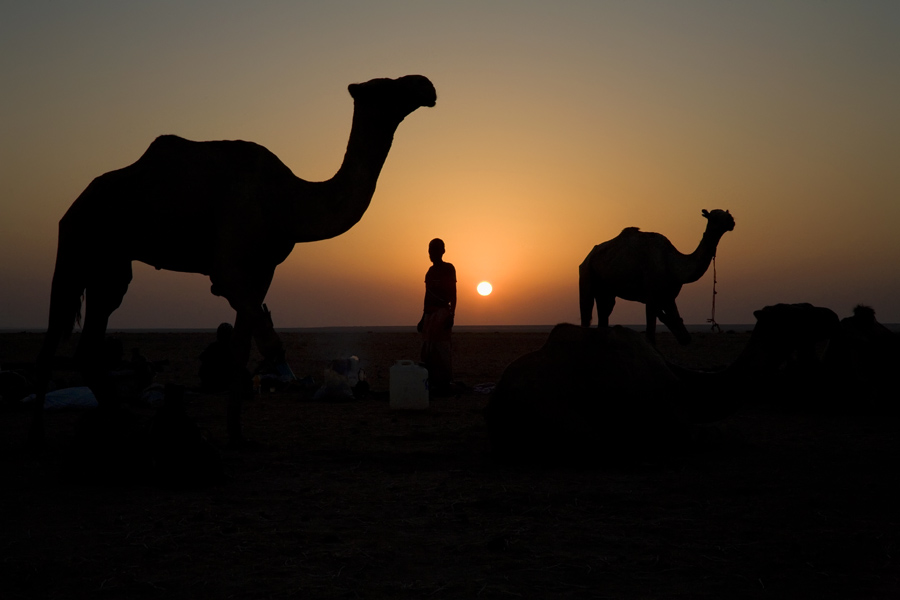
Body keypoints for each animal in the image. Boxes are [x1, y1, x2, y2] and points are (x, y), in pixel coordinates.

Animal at [32, 74, 437, 445]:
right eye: (387, 86)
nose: (425, 84)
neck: (287, 200)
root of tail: (76, 202)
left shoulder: (262, 269)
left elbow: (241, 348)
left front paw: (236, 435)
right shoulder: (229, 262)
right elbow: (268, 342)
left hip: (111, 264)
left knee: (92, 337)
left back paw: (119, 426)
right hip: (77, 243)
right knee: (52, 335)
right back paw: (41, 433)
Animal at [579, 209, 735, 345]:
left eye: (726, 213)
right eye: (714, 217)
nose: (731, 220)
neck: (672, 264)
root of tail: (589, 255)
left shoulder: (668, 297)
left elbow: (684, 336)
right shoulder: (652, 295)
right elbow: (650, 336)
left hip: (606, 291)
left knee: (604, 315)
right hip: (586, 273)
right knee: (586, 316)